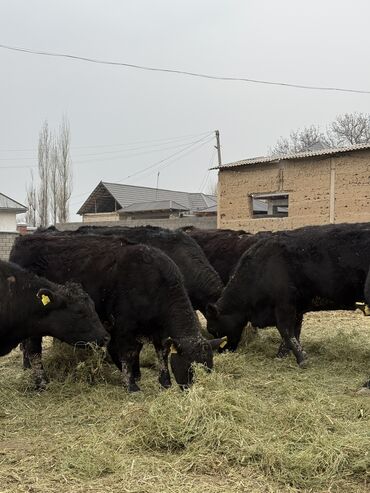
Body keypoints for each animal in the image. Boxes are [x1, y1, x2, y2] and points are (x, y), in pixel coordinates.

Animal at [10, 234, 225, 392]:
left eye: (209, 366)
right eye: (190, 366)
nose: (193, 389)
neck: (153, 282)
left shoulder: (158, 330)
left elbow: (161, 353)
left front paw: (164, 382)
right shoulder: (124, 325)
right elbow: (128, 353)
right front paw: (131, 384)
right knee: (33, 350)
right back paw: (41, 382)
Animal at [207, 223, 370, 366]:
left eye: (214, 330)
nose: (221, 352)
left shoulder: (284, 305)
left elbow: (286, 331)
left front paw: (301, 359)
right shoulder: (297, 308)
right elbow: (294, 332)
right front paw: (283, 355)